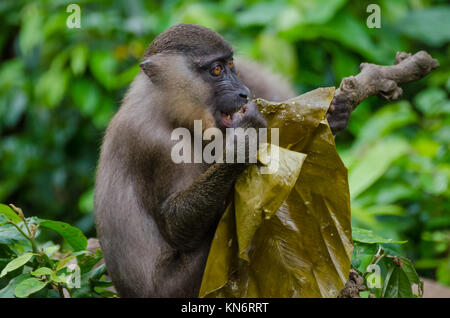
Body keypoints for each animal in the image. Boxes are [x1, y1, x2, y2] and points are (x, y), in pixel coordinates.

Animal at [94, 23, 352, 298]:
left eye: (230, 64)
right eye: (216, 70)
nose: (244, 92)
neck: (165, 109)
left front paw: (335, 114)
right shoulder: (155, 144)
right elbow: (174, 226)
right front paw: (244, 143)